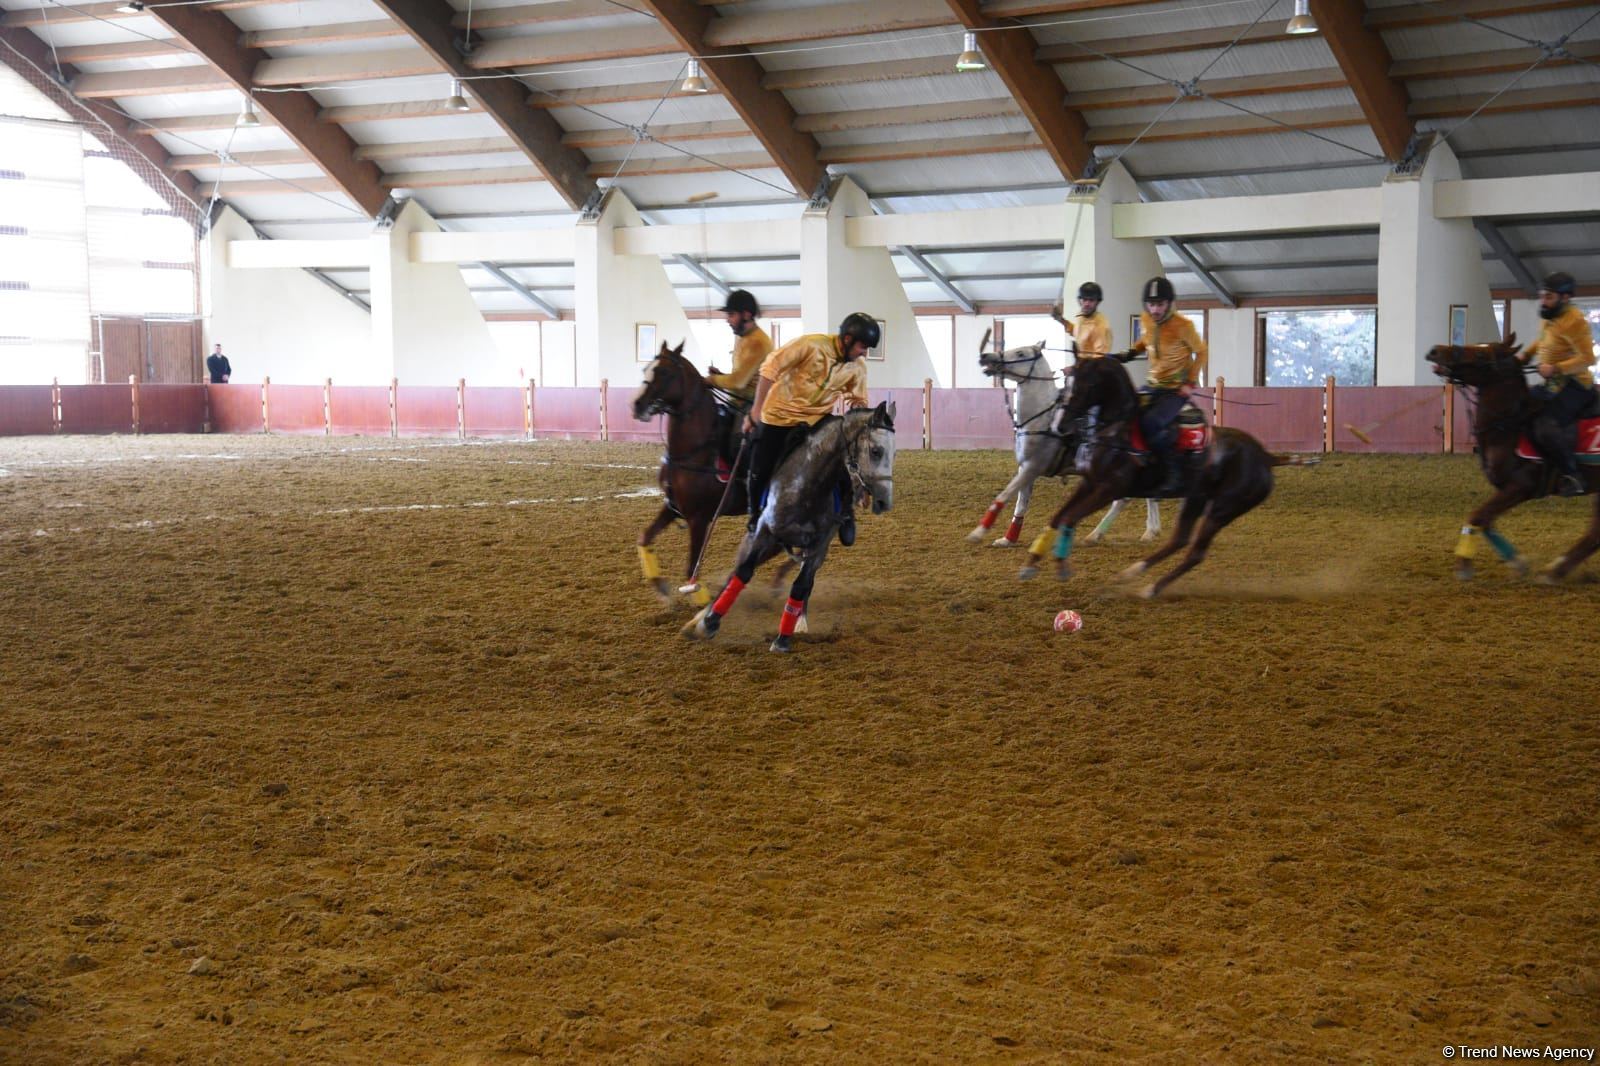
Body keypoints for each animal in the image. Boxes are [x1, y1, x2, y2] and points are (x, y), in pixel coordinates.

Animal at [627, 342, 745, 601]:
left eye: (664, 372)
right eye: (645, 370)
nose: (636, 405)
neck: (692, 452)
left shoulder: (698, 518)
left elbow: (692, 569)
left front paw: (701, 601)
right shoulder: (672, 506)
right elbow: (644, 538)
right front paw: (661, 587)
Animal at [681, 403, 896, 653]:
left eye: (894, 453)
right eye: (875, 451)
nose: (884, 501)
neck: (807, 487)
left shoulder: (818, 545)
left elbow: (801, 585)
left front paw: (783, 637)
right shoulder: (764, 532)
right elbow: (743, 572)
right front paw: (709, 622)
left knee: (806, 582)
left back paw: (801, 621)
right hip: (762, 542)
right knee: (735, 572)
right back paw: (700, 617)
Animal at [960, 337, 1164, 544]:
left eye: (1020, 353)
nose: (986, 356)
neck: (1041, 419)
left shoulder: (1033, 467)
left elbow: (1004, 495)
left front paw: (978, 533)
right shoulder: (1025, 468)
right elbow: (1021, 504)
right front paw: (1008, 539)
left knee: (1126, 498)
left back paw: (1116, 533)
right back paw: (1138, 532)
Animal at [1017, 352, 1305, 592]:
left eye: (1085, 386)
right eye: (1066, 384)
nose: (1060, 426)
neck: (1116, 431)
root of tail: (1266, 457)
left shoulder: (1109, 489)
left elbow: (1069, 518)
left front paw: (1061, 565)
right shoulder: (1088, 483)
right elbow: (1057, 517)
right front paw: (1031, 563)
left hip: (1224, 508)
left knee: (1195, 552)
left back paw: (1150, 589)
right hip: (1196, 499)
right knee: (1180, 540)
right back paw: (1132, 575)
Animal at [1427, 334, 1600, 576]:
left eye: (1481, 354)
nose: (1435, 350)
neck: (1510, 426)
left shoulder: (1520, 486)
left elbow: (1478, 516)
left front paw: (1464, 564)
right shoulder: (1503, 487)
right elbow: (1486, 520)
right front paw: (1517, 560)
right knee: (1595, 534)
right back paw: (1557, 570)